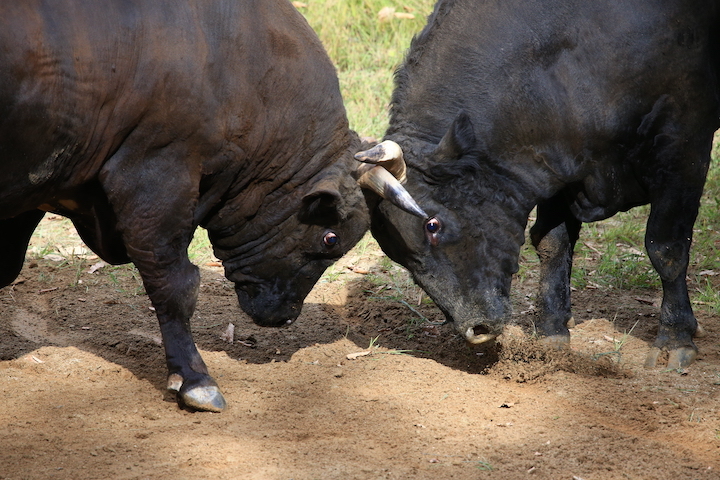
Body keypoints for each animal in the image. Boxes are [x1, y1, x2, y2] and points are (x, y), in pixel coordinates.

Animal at [0, 0, 424, 412]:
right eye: (331, 238)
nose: (285, 317)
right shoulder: (156, 174)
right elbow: (176, 284)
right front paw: (194, 379)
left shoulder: (34, 188)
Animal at [358, 0, 720, 368]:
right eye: (397, 255)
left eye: (433, 224)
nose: (476, 329)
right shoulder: (556, 167)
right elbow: (552, 243)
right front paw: (551, 330)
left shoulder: (683, 146)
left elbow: (666, 248)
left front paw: (675, 337)